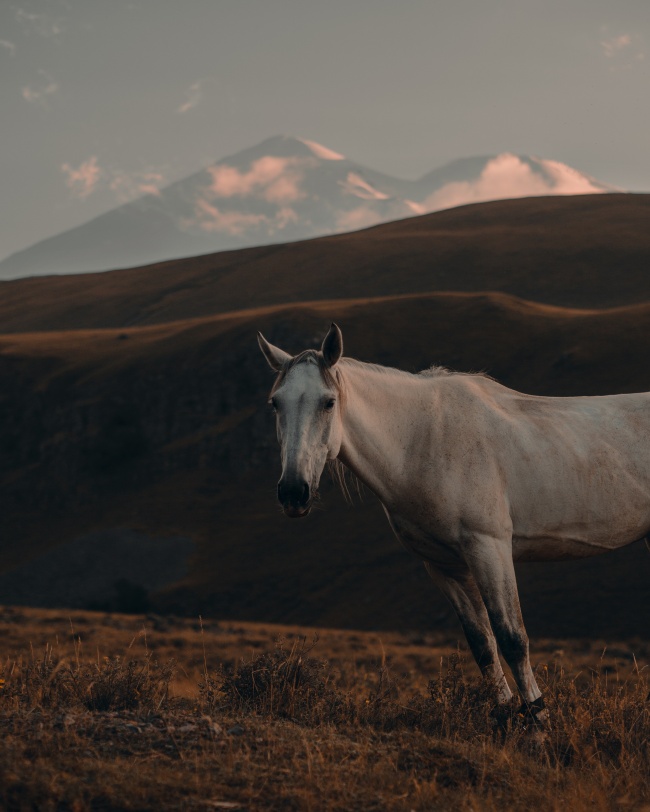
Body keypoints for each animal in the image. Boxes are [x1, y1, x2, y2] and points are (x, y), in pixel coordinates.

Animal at [257, 322, 648, 722]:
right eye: (276, 403)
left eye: (328, 402)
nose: (294, 492)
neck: (424, 439)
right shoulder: (444, 565)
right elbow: (483, 645)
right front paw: (506, 720)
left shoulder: (489, 548)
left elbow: (512, 638)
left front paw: (539, 723)